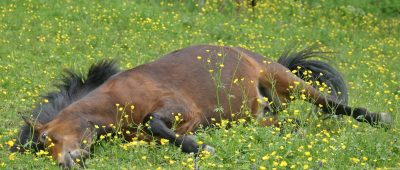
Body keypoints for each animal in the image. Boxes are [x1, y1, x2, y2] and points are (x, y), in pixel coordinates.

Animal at [11, 44, 390, 168]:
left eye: (46, 139)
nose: (67, 163)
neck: (116, 96)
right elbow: (157, 133)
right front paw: (197, 145)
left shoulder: (179, 108)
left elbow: (155, 123)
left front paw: (200, 147)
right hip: (252, 117)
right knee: (285, 122)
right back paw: (293, 132)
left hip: (285, 79)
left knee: (333, 106)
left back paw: (380, 119)